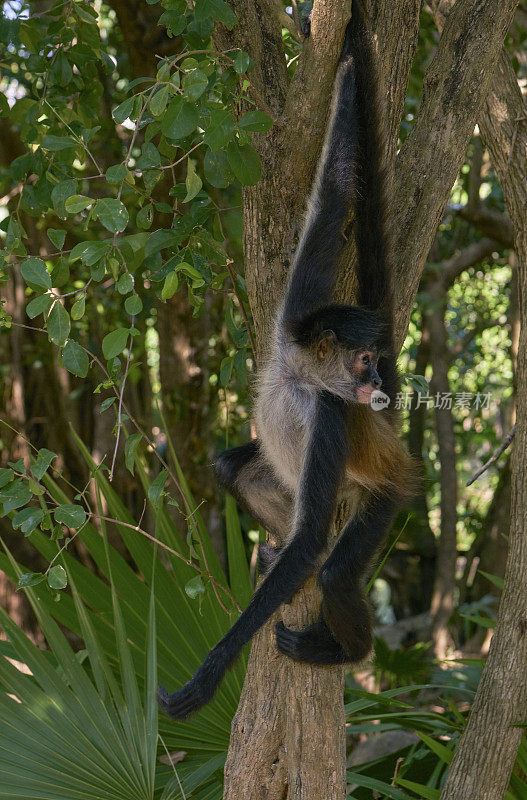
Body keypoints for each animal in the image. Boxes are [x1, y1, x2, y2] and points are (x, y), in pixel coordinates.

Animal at [159, 3, 414, 720]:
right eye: (363, 360)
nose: (378, 382)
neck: (299, 378)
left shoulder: (328, 413)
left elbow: (310, 548)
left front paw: (209, 674)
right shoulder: (291, 320)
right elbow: (332, 198)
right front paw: (347, 59)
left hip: (383, 494)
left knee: (331, 566)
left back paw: (343, 650)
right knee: (233, 470)